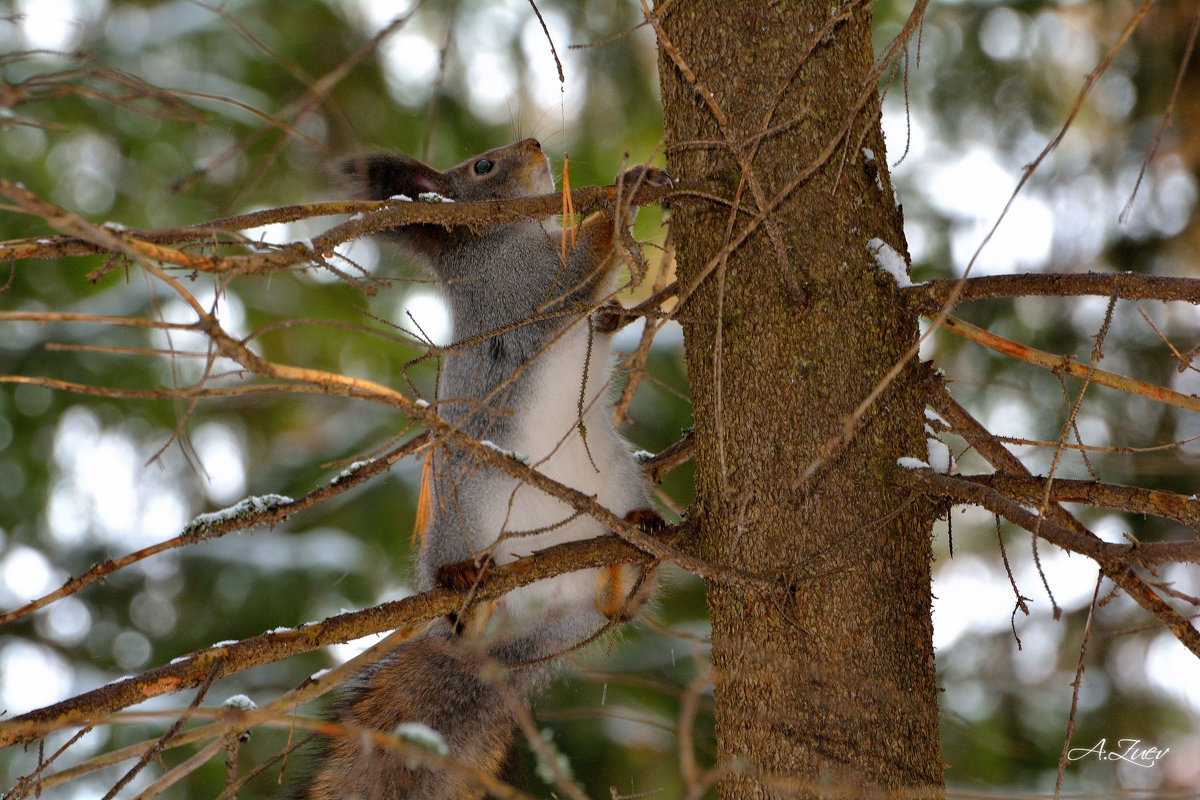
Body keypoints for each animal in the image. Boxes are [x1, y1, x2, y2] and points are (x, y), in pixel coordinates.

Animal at [298, 139, 672, 800]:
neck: (505, 238)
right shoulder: (526, 286)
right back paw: (464, 595)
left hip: (616, 480)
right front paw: (627, 189)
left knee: (616, 609)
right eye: (483, 166)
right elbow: (580, 270)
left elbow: (599, 314)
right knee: (467, 615)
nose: (535, 144)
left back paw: (635, 551)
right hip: (459, 516)